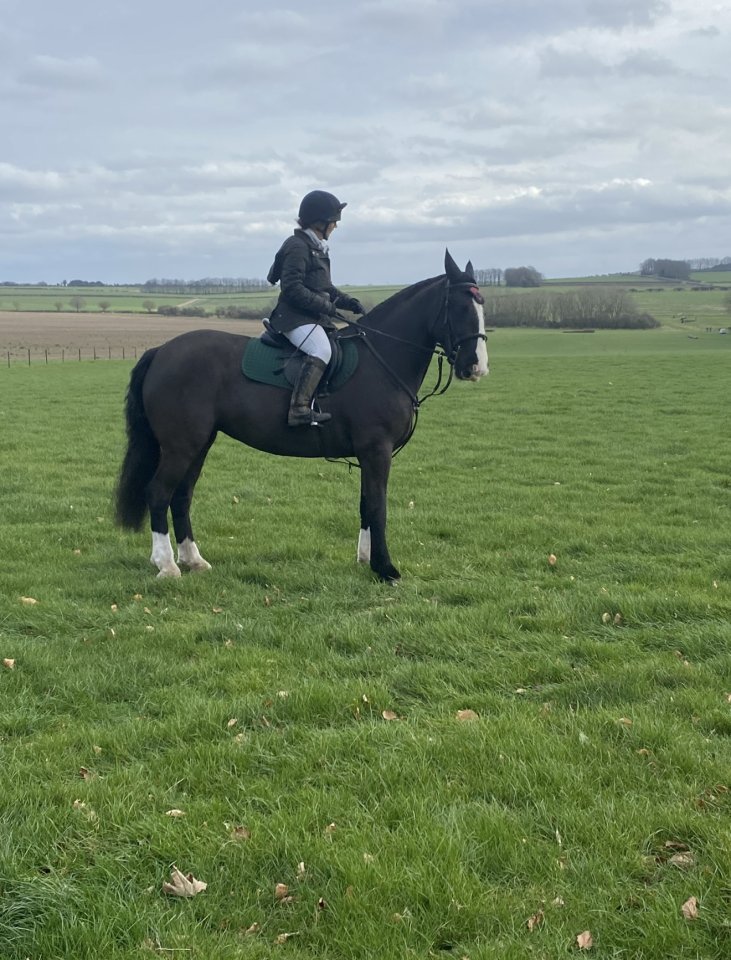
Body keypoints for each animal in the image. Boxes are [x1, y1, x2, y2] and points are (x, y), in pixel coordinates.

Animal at [114, 250, 489, 582]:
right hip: (181, 446)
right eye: (459, 307)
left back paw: (193, 560)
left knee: (181, 496)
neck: (381, 359)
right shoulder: (376, 450)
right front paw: (385, 569)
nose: (476, 367)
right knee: (159, 493)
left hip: (199, 444)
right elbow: (378, 507)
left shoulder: (367, 455)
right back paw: (166, 565)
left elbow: (365, 504)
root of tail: (162, 351)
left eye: (481, 306)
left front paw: (365, 559)